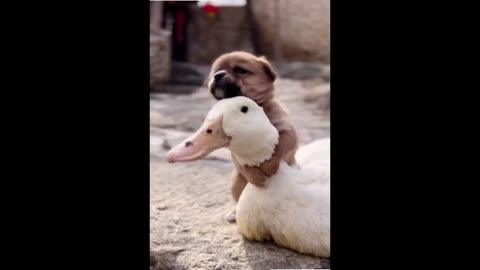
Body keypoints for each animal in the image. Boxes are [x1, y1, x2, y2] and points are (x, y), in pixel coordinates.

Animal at [207, 51, 298, 221]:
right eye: (215, 71)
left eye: (240, 70)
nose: (217, 75)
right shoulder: (234, 147)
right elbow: (244, 163)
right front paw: (255, 175)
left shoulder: (287, 132)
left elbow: (279, 148)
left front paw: (268, 166)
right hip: (236, 182)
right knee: (238, 198)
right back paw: (234, 213)